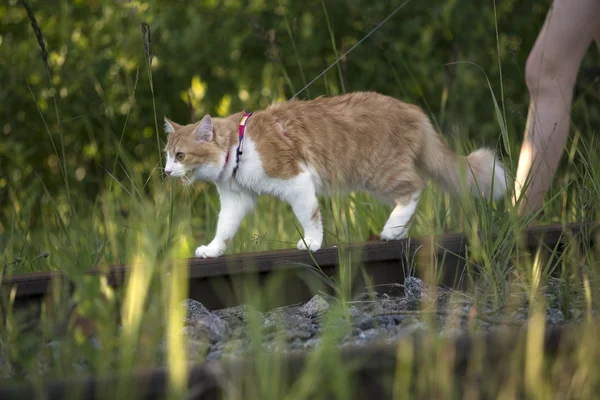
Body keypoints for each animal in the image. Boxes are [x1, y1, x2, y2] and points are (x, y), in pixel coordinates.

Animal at [162, 91, 504, 258]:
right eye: (166, 154)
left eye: (180, 156)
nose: (165, 171)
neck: (239, 147)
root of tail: (413, 110)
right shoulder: (236, 200)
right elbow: (224, 229)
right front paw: (213, 250)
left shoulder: (295, 181)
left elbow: (310, 218)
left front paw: (312, 243)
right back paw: (397, 231)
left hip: (379, 173)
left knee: (416, 188)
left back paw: (391, 229)